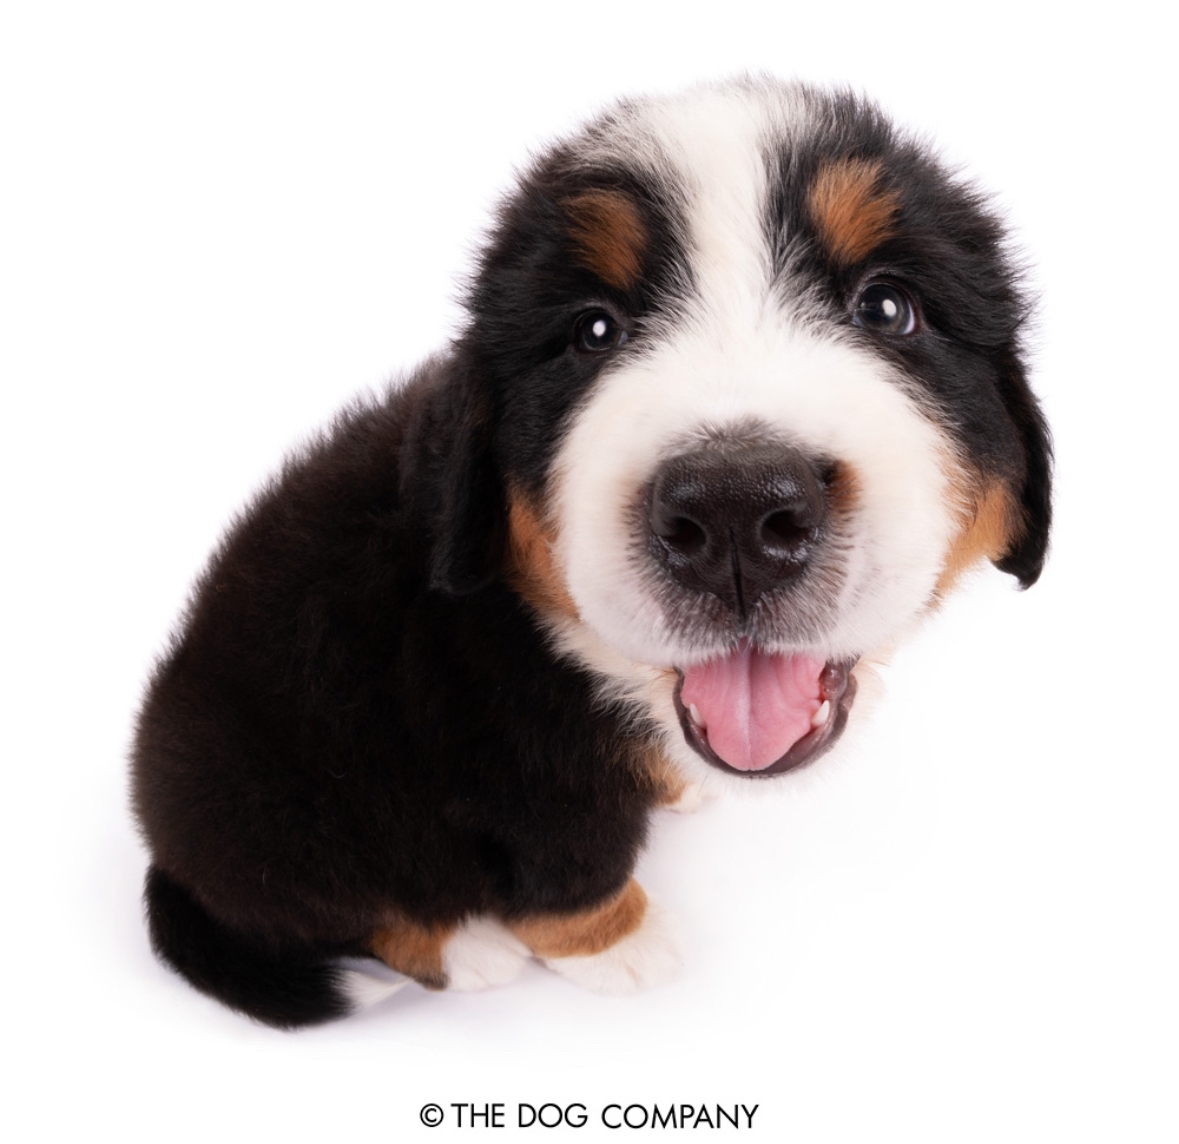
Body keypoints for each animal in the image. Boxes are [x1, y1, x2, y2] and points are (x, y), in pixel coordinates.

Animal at [133, 77, 1056, 1023]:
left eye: (886, 307)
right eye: (593, 331)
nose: (733, 512)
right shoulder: (507, 757)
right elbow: (567, 864)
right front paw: (619, 945)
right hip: (273, 804)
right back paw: (464, 949)